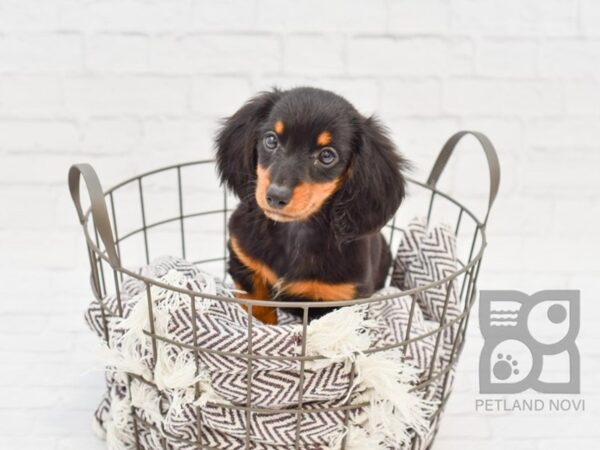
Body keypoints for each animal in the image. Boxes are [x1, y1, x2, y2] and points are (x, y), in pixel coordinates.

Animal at [216, 86, 408, 324]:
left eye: (327, 156)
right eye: (271, 140)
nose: (275, 197)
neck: (294, 234)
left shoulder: (338, 300)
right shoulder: (246, 263)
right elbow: (259, 311)